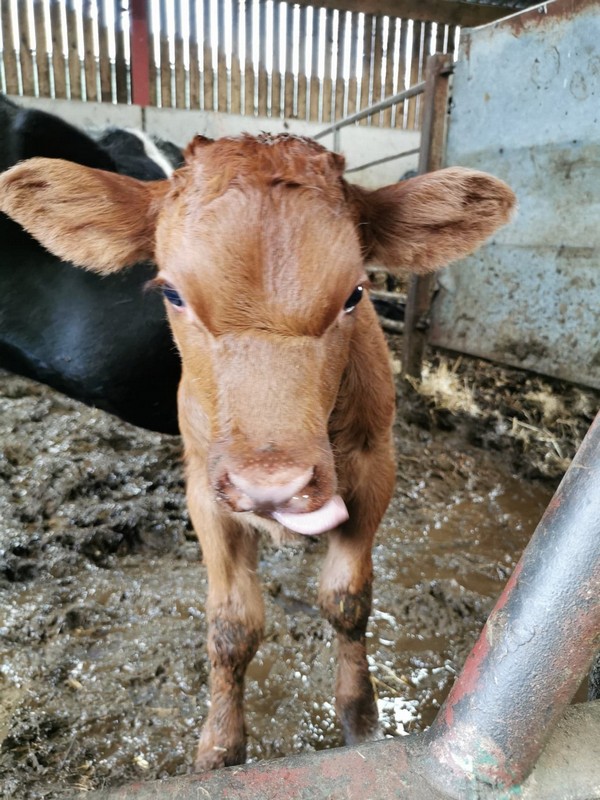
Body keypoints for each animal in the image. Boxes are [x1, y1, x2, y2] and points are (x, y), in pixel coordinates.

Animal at [0, 133, 515, 771]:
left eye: (355, 294)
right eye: (172, 293)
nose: (273, 485)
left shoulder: (376, 470)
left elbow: (347, 600)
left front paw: (361, 718)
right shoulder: (206, 493)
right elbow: (232, 627)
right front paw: (220, 750)